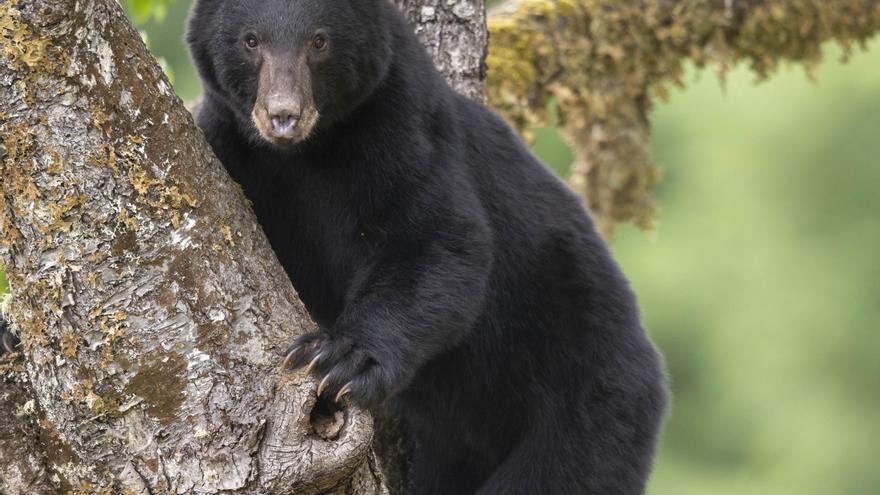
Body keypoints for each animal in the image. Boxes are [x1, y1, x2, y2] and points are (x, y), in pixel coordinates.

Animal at [187, 0, 667, 493]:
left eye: (319, 41)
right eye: (250, 40)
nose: (283, 115)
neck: (308, 152)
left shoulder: (404, 129)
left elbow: (435, 240)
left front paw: (341, 358)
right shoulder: (234, 149)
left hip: (584, 397)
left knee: (558, 472)